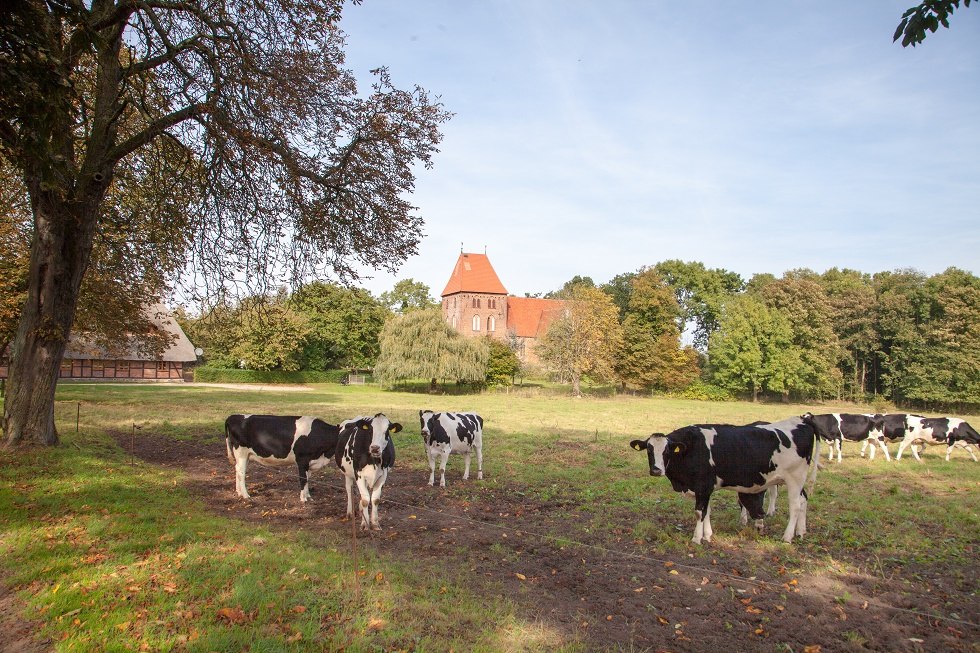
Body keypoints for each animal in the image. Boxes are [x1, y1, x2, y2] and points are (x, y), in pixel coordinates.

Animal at [628, 418, 820, 544]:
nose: (656, 470)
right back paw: (800, 532)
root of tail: (802, 421)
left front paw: (697, 538)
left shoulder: (702, 486)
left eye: (667, 450)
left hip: (795, 478)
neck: (691, 448)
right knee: (804, 500)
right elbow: (707, 511)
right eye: (649, 450)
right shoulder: (706, 488)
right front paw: (707, 535)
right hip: (797, 480)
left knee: (795, 506)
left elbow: (699, 512)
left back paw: (787, 537)